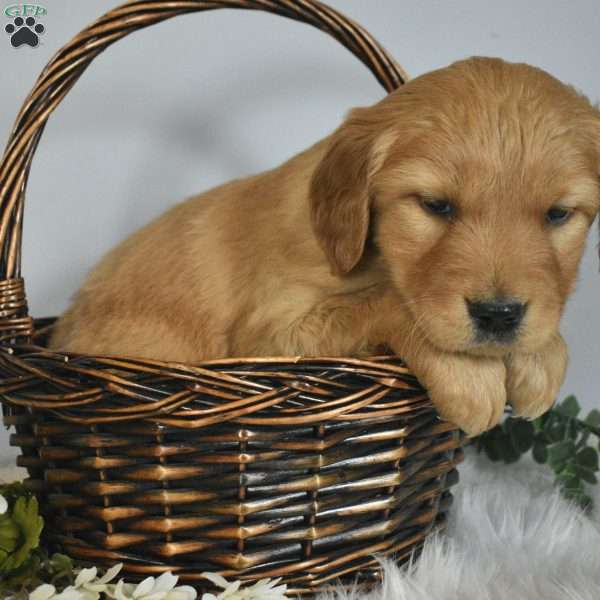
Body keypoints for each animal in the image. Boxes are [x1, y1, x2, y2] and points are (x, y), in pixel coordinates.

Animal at [51, 57, 600, 436]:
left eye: (558, 214)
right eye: (435, 205)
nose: (499, 315)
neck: (376, 255)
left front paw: (542, 354)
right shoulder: (268, 338)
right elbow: (385, 303)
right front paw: (468, 375)